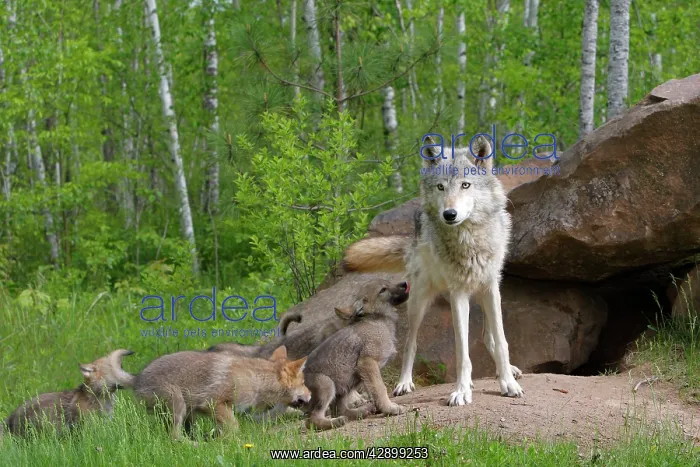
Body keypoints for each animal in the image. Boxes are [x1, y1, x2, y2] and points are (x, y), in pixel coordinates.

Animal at [132, 345, 309, 440]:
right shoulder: (213, 403)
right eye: (303, 383)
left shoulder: (239, 411)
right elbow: (234, 427)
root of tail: (137, 380)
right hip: (178, 404)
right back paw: (195, 445)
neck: (257, 379)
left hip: (187, 413)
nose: (311, 395)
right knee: (174, 437)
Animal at [303, 279, 410, 430]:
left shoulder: (367, 371)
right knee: (312, 420)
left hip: (346, 384)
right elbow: (380, 388)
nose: (405, 283)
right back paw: (335, 422)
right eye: (383, 289)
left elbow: (373, 391)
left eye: (389, 282)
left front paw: (381, 408)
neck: (378, 321)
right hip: (327, 385)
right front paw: (389, 408)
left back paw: (361, 412)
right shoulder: (367, 362)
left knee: (339, 410)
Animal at [343, 136, 523, 406]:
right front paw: (461, 391)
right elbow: (461, 351)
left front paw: (508, 383)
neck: (469, 241)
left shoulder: (491, 288)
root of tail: (412, 237)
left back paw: (507, 371)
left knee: (489, 337)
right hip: (419, 303)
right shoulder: (458, 294)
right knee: (410, 343)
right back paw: (404, 383)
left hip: (482, 296)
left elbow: (501, 342)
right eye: (440, 187)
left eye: (465, 185)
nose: (449, 214)